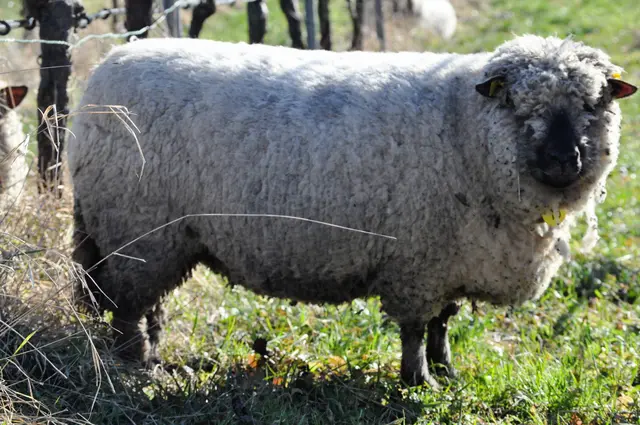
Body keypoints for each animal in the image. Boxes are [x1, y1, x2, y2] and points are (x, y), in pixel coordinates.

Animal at [68, 35, 637, 387]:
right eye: (519, 104)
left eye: (595, 103)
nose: (565, 159)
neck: (464, 126)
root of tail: (102, 74)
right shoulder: (418, 263)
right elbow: (415, 329)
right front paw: (418, 382)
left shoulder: (452, 259)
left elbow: (442, 324)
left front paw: (446, 371)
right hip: (135, 224)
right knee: (127, 306)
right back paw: (137, 366)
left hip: (161, 235)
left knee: (147, 303)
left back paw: (157, 357)